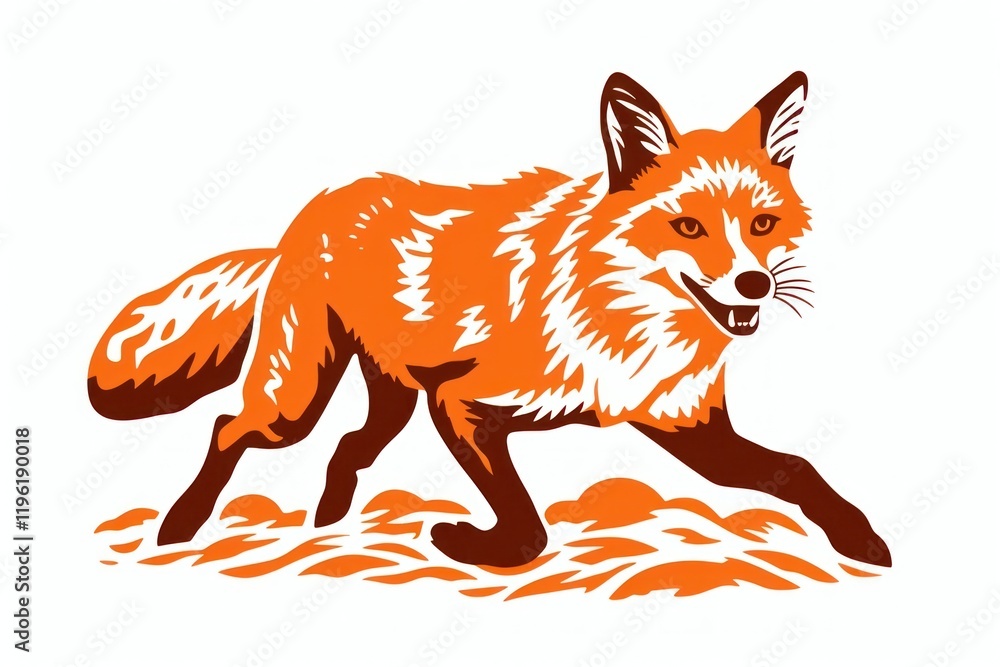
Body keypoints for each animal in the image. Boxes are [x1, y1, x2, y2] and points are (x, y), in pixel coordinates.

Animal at [88, 71, 891, 569]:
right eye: (688, 228)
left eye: (762, 224)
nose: (755, 284)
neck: (622, 323)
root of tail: (304, 216)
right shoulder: (464, 404)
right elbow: (529, 528)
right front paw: (464, 542)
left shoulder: (688, 427)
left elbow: (798, 470)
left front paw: (861, 539)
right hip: (297, 400)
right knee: (229, 426)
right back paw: (181, 524)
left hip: (391, 403)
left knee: (348, 446)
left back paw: (329, 519)